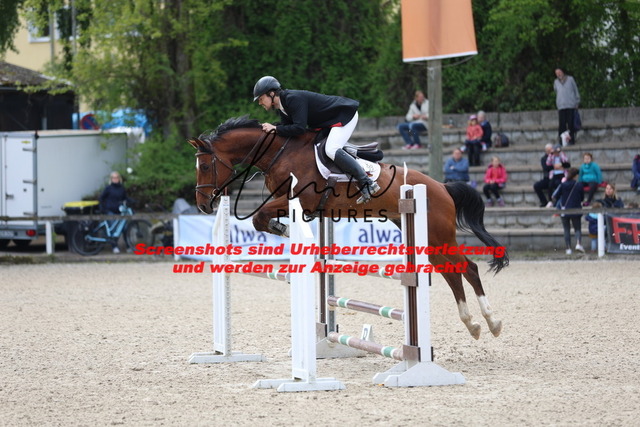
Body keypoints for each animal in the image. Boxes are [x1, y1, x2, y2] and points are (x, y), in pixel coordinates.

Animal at [188, 116, 508, 339]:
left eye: (204, 167)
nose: (203, 205)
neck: (280, 152)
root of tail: (442, 186)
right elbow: (260, 219)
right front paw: (289, 233)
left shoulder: (299, 199)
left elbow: (259, 217)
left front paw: (289, 232)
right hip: (428, 239)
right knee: (452, 273)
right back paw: (473, 324)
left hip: (439, 235)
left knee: (468, 268)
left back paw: (491, 322)